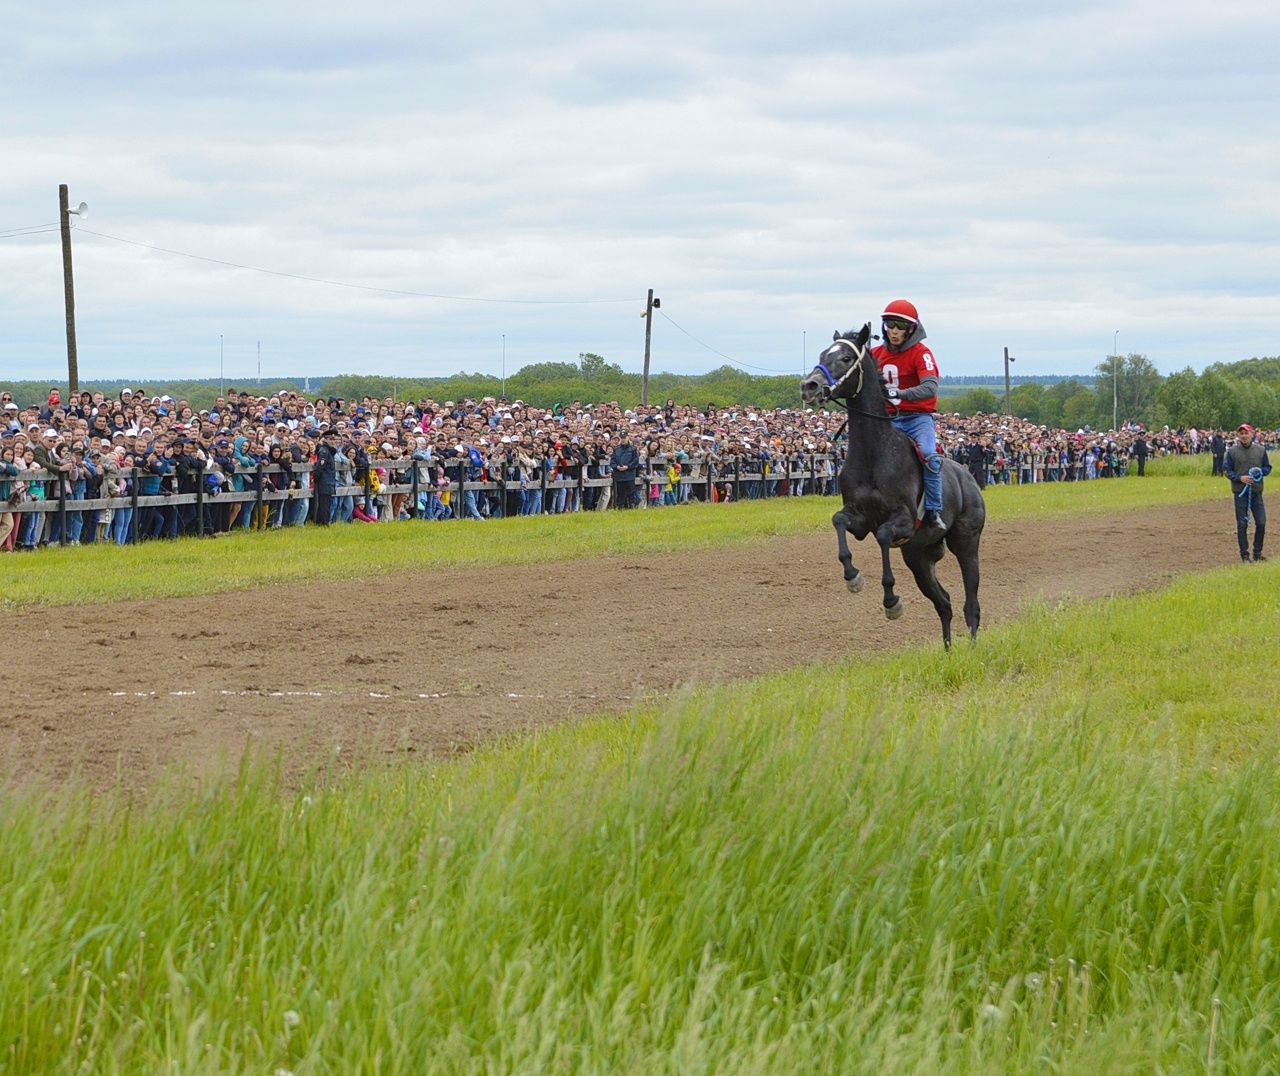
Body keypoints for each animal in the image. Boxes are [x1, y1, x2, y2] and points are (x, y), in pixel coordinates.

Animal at [798, 323, 988, 647]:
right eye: (823, 355)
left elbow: (884, 535)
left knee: (970, 603)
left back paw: (973, 648)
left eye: (846, 358)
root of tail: (968, 479)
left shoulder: (904, 521)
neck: (875, 453)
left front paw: (891, 602)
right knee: (944, 603)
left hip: (966, 542)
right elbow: (839, 521)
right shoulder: (859, 519)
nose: (809, 385)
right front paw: (852, 576)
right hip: (918, 557)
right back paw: (948, 650)